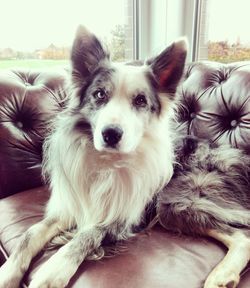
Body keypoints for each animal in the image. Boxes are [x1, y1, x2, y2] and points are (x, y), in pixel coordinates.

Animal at [0, 25, 188, 286]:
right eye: (99, 95)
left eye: (141, 100)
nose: (111, 134)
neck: (107, 162)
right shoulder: (67, 205)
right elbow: (30, 234)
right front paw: (7, 272)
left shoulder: (125, 219)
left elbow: (87, 234)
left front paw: (52, 270)